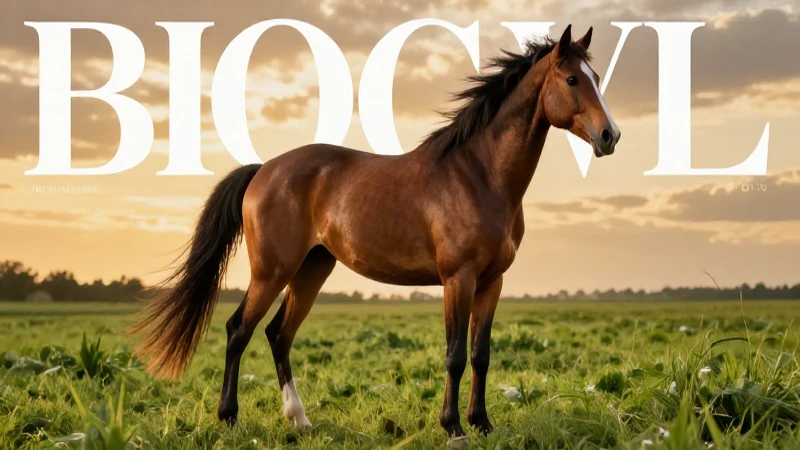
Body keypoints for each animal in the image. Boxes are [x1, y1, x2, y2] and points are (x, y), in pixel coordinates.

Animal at [131, 24, 620, 443]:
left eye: (596, 78)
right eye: (573, 79)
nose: (609, 136)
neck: (479, 175)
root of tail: (264, 170)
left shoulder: (491, 282)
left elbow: (480, 355)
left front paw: (482, 424)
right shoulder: (457, 279)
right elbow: (455, 355)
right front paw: (454, 427)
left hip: (312, 270)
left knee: (278, 335)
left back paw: (300, 420)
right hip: (272, 271)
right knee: (238, 331)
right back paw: (230, 418)